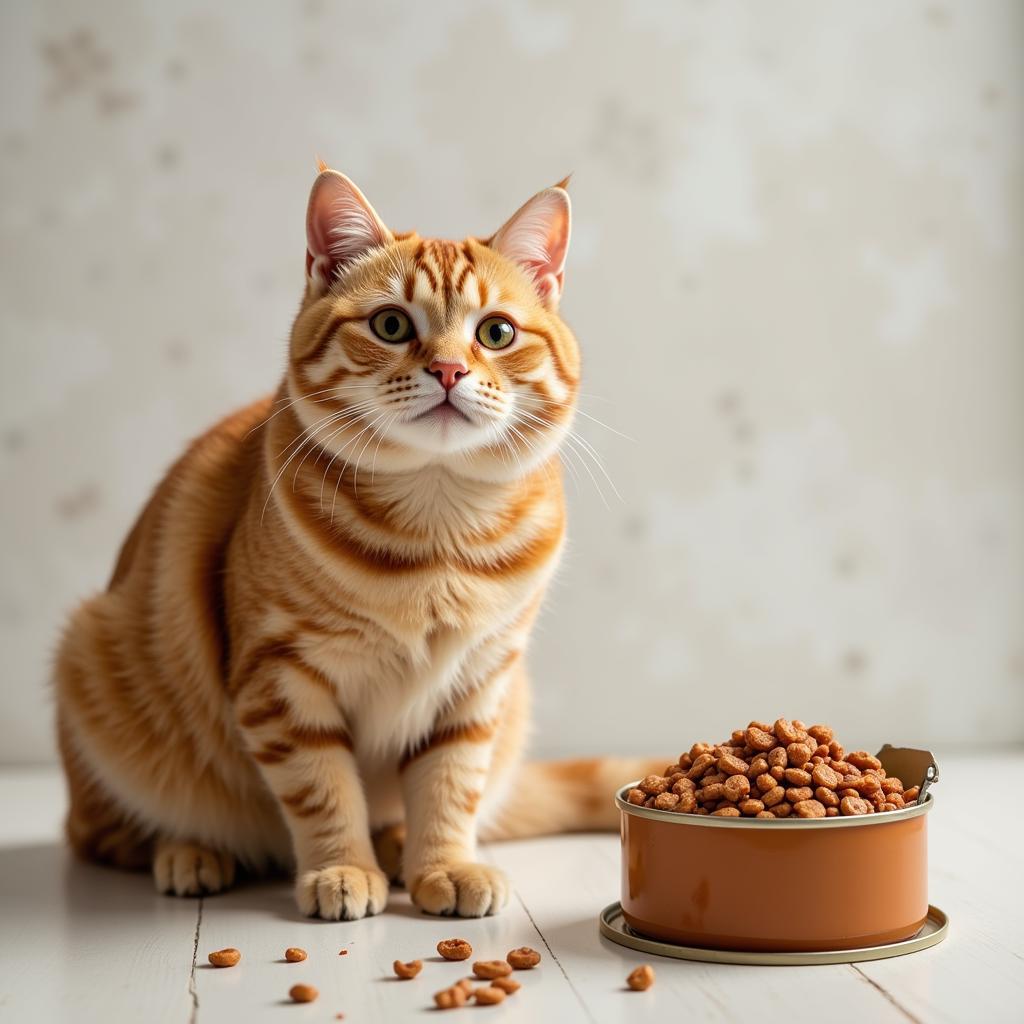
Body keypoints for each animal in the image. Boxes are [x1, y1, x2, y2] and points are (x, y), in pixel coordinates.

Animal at [54, 167, 655, 921]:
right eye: (391, 325)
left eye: (496, 332)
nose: (450, 370)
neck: (437, 533)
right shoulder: (283, 676)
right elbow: (322, 786)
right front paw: (341, 867)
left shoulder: (479, 680)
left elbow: (450, 784)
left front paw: (443, 864)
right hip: (96, 665)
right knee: (107, 833)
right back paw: (194, 852)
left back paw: (395, 845)